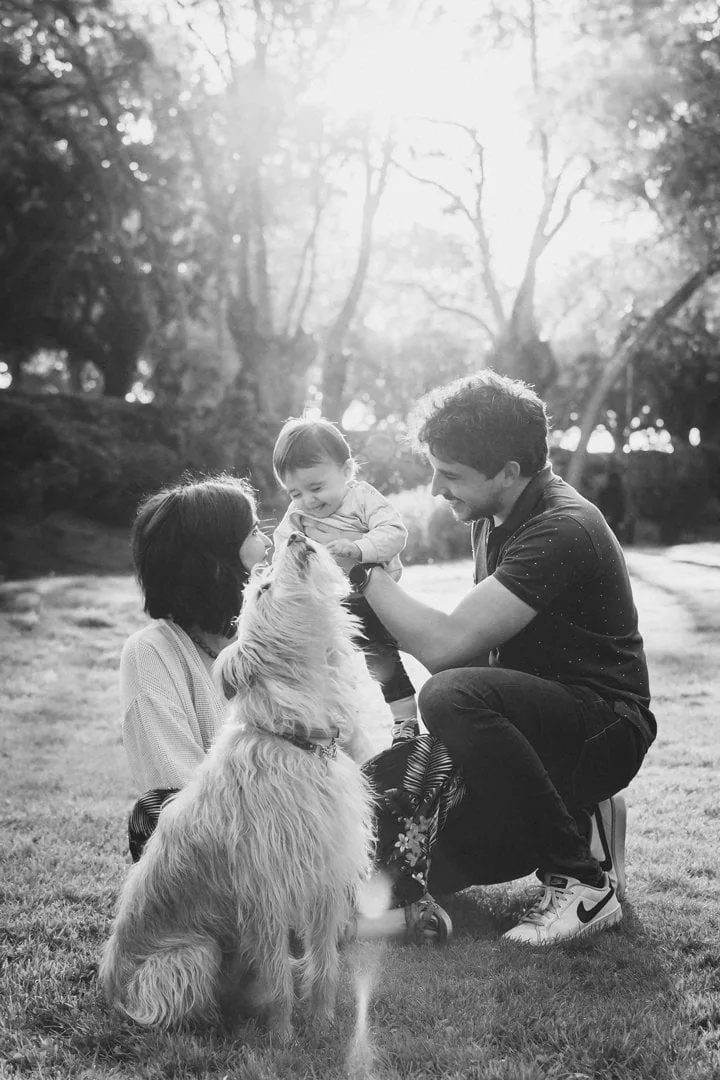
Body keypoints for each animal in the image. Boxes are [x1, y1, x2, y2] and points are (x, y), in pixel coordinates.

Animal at [99, 533, 377, 1039]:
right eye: (263, 588)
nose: (294, 534)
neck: (297, 738)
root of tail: (108, 987)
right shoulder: (267, 895)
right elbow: (279, 974)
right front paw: (283, 1037)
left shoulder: (325, 879)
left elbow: (324, 963)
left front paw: (323, 1022)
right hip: (193, 954)